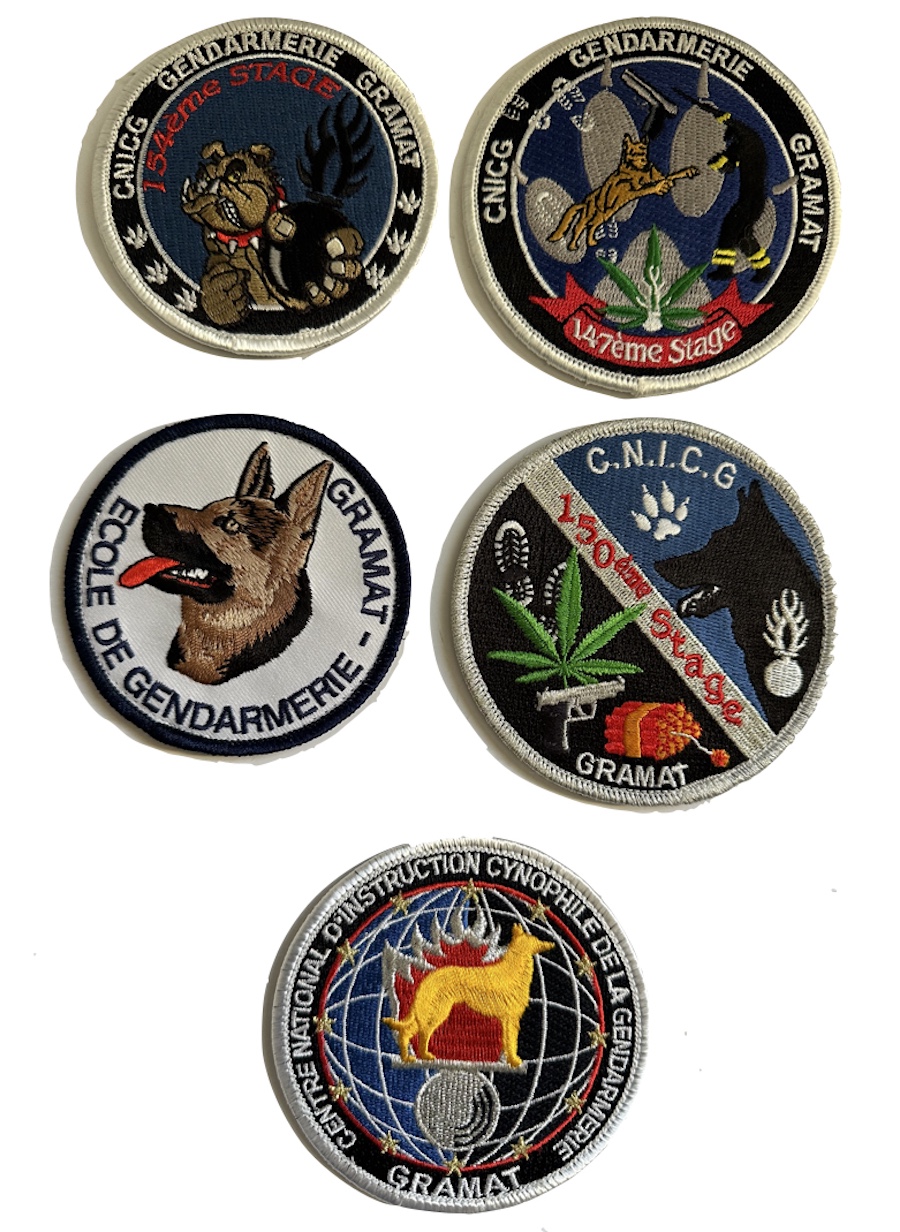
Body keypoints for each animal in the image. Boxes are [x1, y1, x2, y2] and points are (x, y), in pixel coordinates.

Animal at [383, 924, 554, 1067]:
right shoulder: (511, 1016)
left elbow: (507, 1040)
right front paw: (514, 1061)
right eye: (535, 939)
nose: (551, 944)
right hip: (436, 1010)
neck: (512, 971)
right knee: (422, 1033)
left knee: (408, 1031)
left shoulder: (506, 1018)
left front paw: (511, 1060)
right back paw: (423, 1056)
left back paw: (407, 1058)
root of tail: (425, 982)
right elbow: (511, 1041)